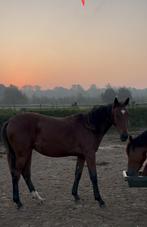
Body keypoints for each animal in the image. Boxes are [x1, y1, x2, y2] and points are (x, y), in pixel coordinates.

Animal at [1, 96, 130, 208]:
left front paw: (75, 195)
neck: (89, 126)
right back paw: (18, 202)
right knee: (16, 175)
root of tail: (10, 121)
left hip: (28, 153)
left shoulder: (81, 156)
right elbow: (93, 176)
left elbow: (78, 174)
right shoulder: (90, 154)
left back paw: (38, 198)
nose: (124, 136)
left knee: (26, 174)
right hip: (22, 154)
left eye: (127, 114)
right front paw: (100, 200)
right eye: (116, 114)